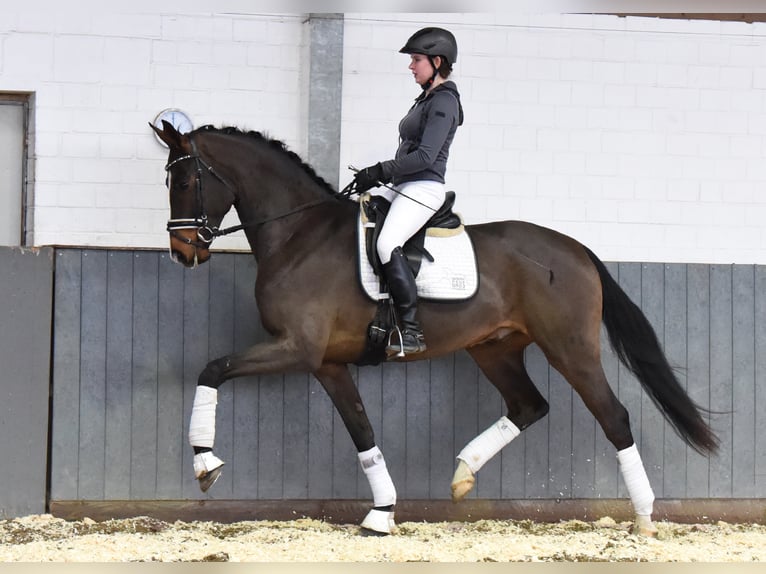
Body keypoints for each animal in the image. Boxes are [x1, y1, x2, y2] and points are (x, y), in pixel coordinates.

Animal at [152, 122, 720, 540]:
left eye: (184, 182)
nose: (182, 252)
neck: (299, 235)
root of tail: (576, 249)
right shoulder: (328, 363)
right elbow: (363, 432)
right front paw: (381, 513)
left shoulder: (298, 348)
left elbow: (213, 369)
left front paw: (205, 463)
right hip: (494, 349)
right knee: (529, 406)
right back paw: (463, 474)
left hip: (570, 348)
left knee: (613, 416)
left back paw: (644, 519)